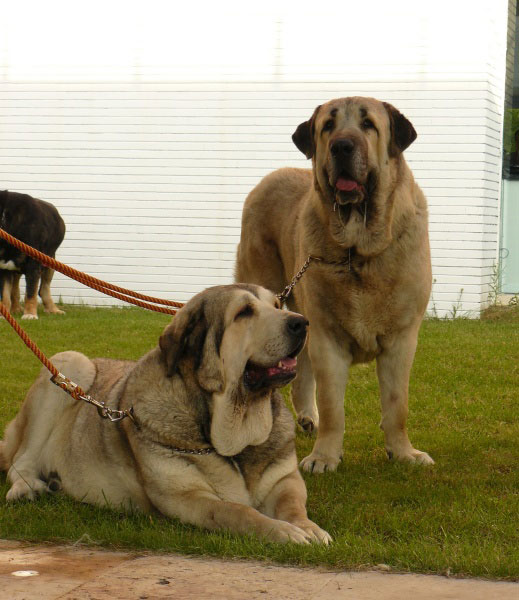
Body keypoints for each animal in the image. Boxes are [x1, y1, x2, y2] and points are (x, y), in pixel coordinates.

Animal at [0, 284, 332, 544]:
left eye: (276, 305)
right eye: (244, 313)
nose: (302, 323)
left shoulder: (286, 479)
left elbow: (293, 505)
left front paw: (307, 528)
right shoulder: (185, 497)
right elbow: (235, 511)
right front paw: (283, 532)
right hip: (69, 364)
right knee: (19, 462)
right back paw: (27, 488)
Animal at [238, 97, 432, 474]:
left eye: (368, 124)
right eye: (328, 125)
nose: (342, 146)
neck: (358, 249)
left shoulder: (402, 339)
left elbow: (397, 403)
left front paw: (404, 453)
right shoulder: (328, 337)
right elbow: (332, 407)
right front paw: (324, 457)